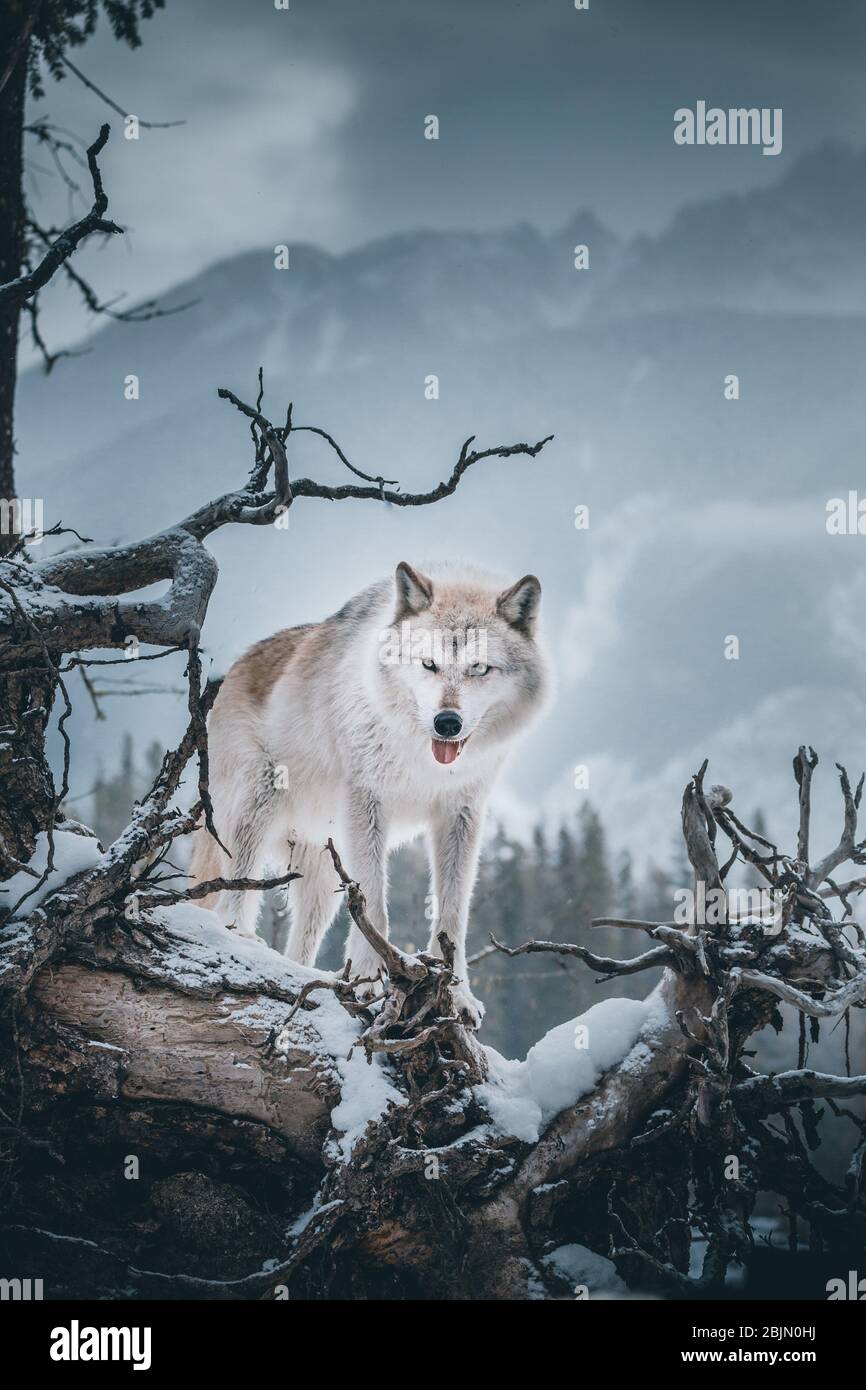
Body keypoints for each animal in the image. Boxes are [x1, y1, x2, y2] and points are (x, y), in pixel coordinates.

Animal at [188, 560, 547, 1026]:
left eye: (479, 669)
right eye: (428, 664)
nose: (446, 722)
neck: (421, 757)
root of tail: (232, 670)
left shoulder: (461, 815)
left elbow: (452, 915)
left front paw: (458, 995)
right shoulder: (367, 803)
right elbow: (374, 903)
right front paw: (370, 982)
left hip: (320, 871)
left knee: (300, 942)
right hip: (256, 805)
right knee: (232, 898)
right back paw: (243, 942)